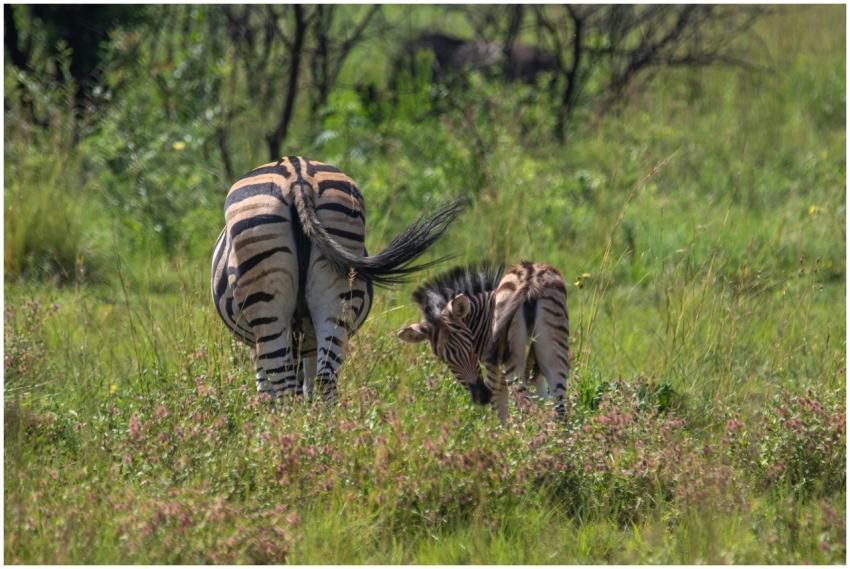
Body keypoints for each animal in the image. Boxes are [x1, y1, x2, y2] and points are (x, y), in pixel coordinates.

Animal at [212, 155, 465, 402]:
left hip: (266, 302)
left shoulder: (262, 346)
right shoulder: (308, 341)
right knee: (324, 381)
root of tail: (296, 176)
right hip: (338, 292)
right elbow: (307, 385)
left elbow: (267, 391)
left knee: (286, 386)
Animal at [397, 261, 570, 422]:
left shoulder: (492, 367)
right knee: (560, 406)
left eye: (470, 346)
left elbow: (500, 410)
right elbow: (542, 398)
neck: (483, 315)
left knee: (524, 404)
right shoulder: (536, 369)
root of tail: (530, 280)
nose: (482, 397)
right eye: (444, 359)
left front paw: (501, 434)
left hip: (510, 358)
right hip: (553, 346)